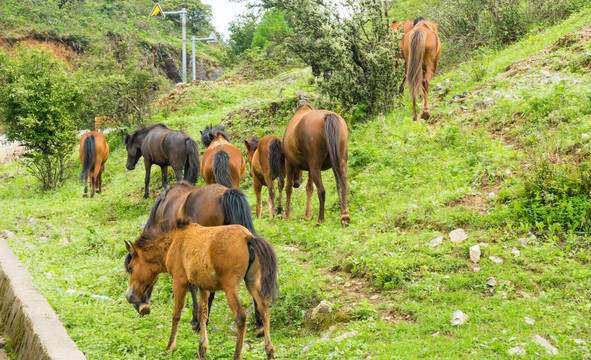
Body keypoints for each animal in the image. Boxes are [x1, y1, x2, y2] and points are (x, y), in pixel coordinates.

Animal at [125, 217, 278, 360]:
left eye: (131, 268)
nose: (129, 296)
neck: (174, 241)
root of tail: (248, 238)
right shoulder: (204, 287)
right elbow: (202, 314)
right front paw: (202, 350)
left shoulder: (179, 282)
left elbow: (176, 314)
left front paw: (169, 348)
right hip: (252, 283)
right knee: (264, 311)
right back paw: (269, 352)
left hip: (230, 287)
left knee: (240, 317)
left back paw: (237, 355)